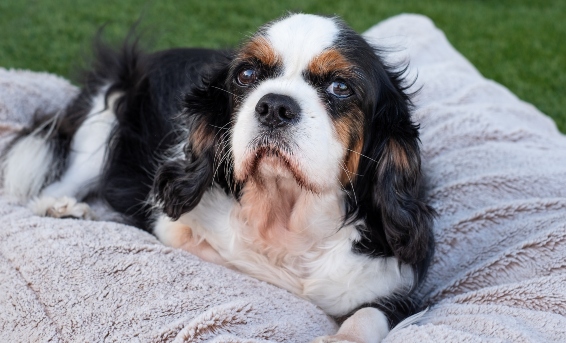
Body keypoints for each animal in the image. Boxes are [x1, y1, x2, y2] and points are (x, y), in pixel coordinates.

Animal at [2, 13, 434, 343]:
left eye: (340, 86)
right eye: (246, 74)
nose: (274, 106)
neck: (282, 213)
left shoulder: (397, 288)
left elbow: (367, 316)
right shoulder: (172, 224)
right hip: (107, 109)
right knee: (65, 179)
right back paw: (60, 207)